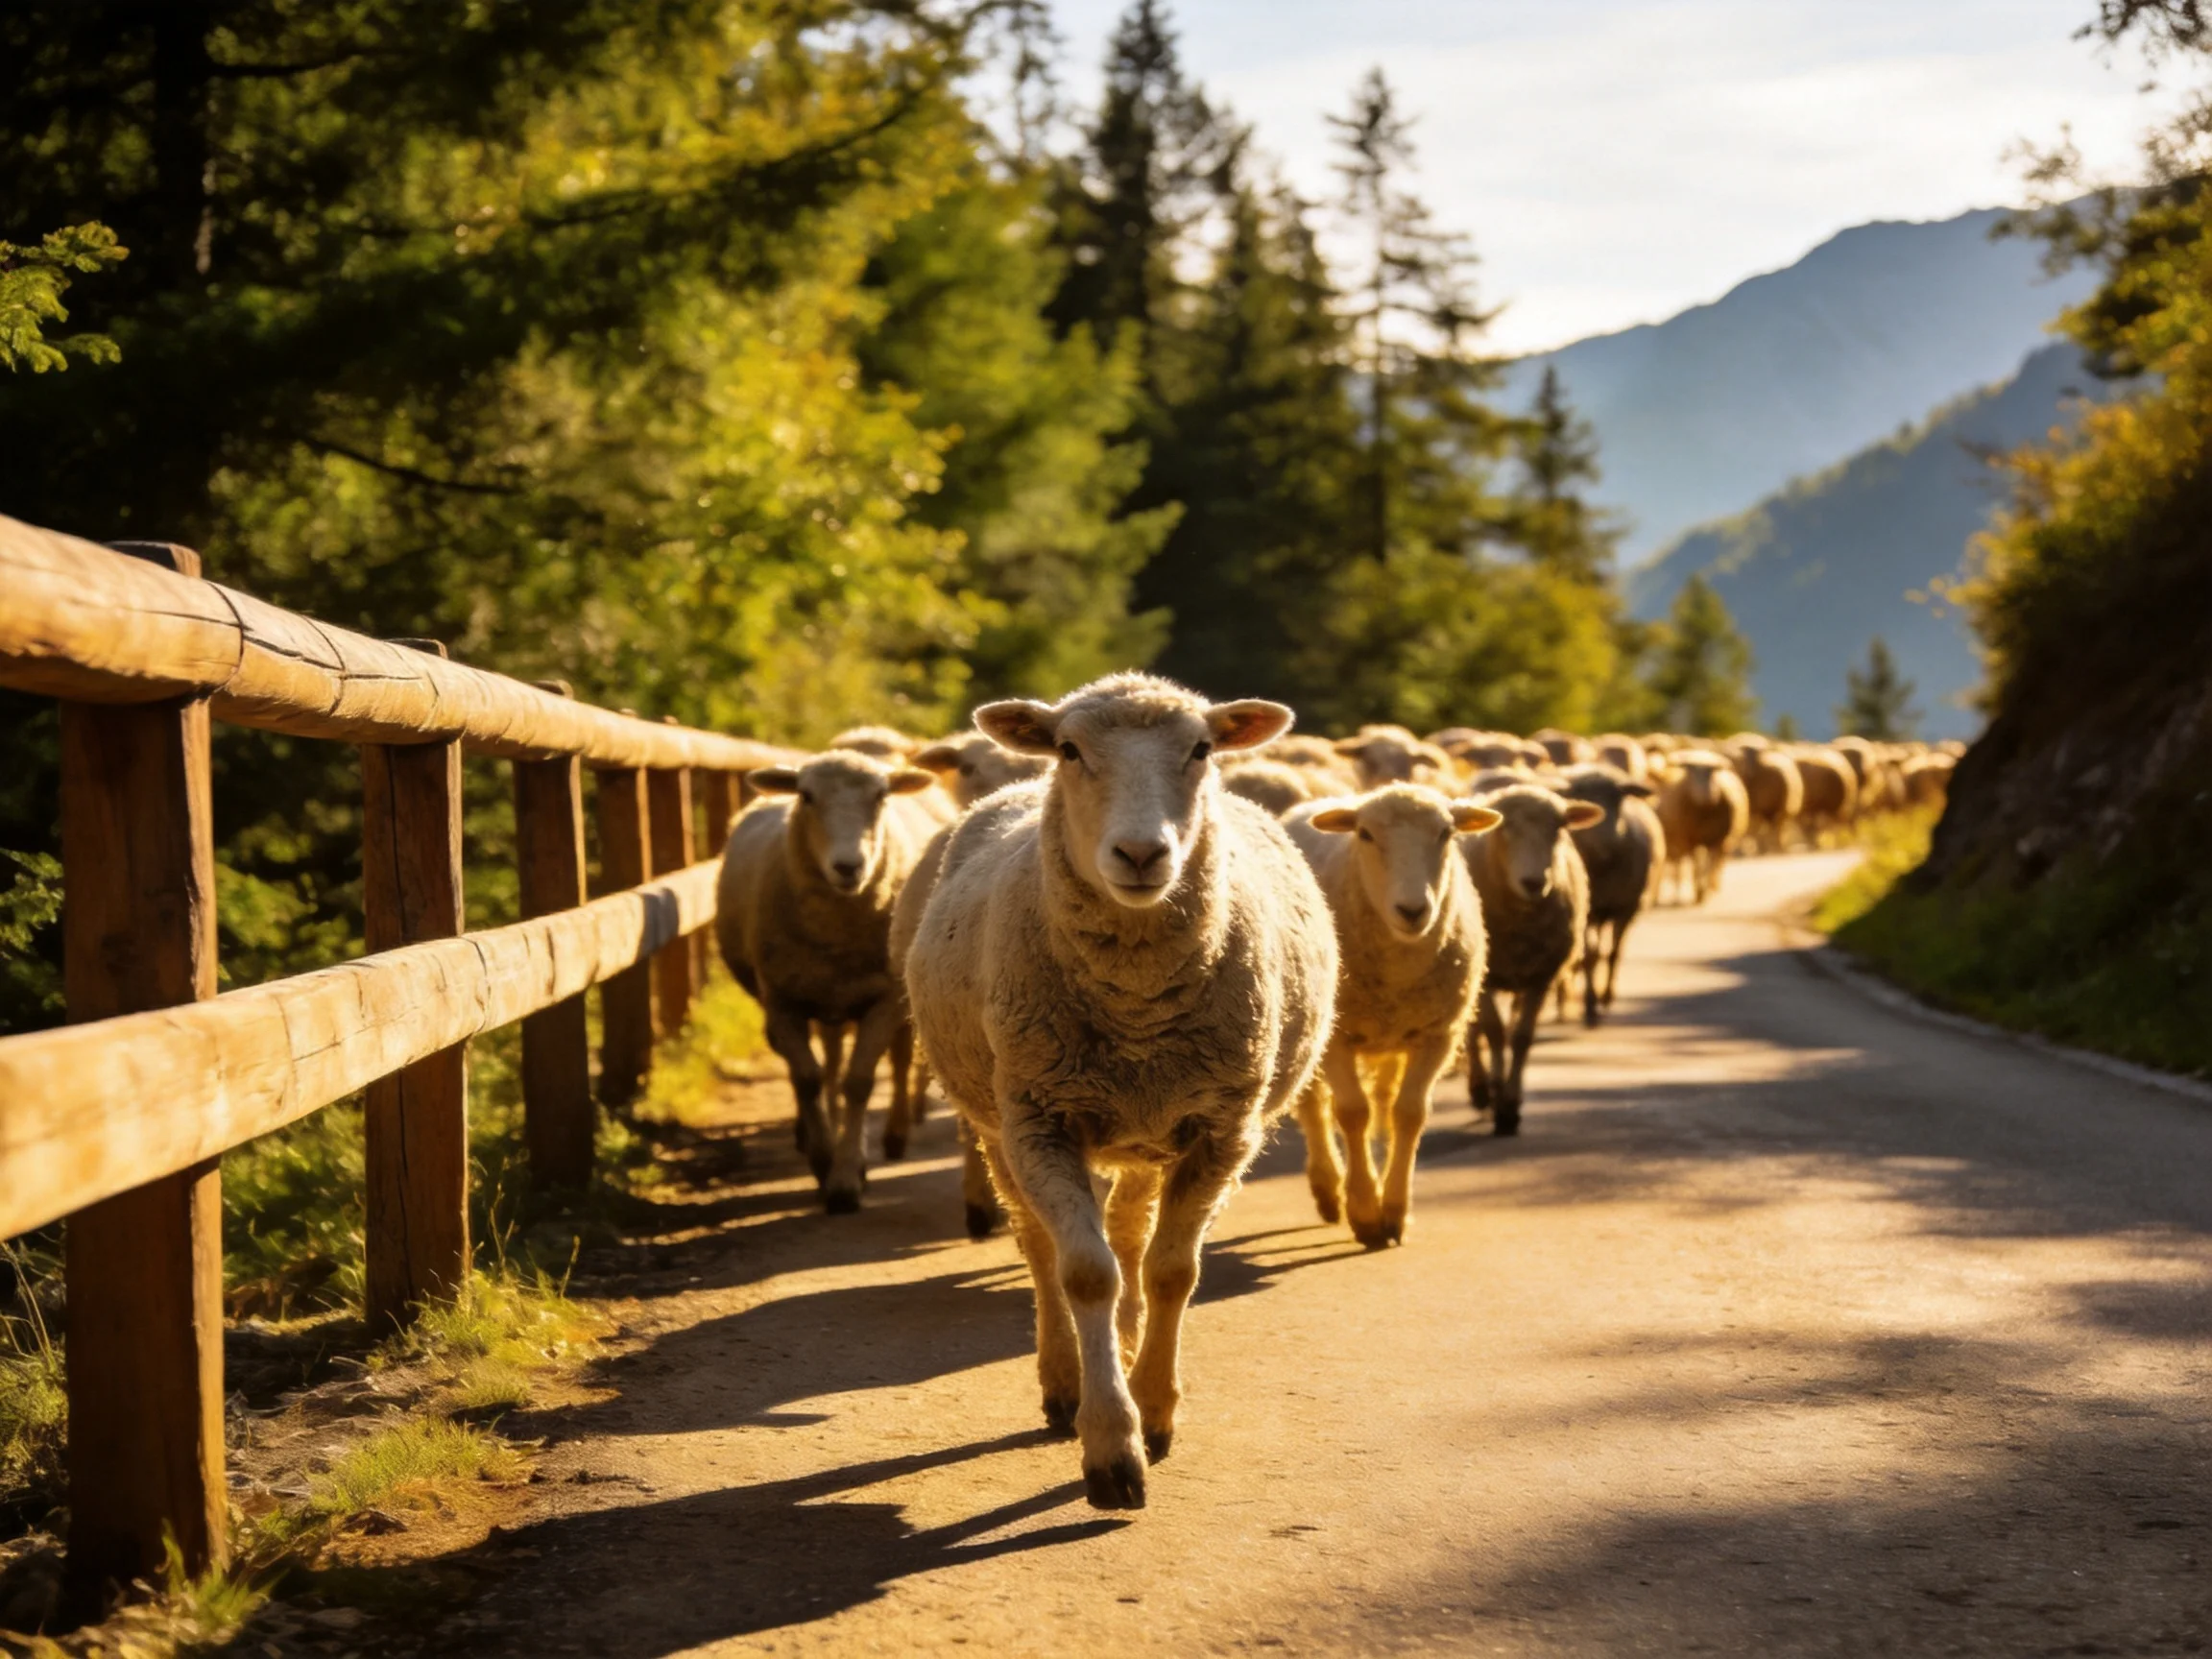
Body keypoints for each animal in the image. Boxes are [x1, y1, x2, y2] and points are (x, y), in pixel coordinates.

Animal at [716, 749, 943, 1211]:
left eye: (881, 796)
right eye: (806, 796)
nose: (848, 867)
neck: (837, 933)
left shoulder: (883, 999)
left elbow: (859, 1081)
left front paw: (846, 1177)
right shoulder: (782, 1000)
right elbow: (808, 1078)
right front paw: (823, 1160)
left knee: (890, 1061)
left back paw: (892, 1136)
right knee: (823, 1065)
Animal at [1284, 785, 1499, 1244]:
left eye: (1446, 833)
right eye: (1364, 834)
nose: (1413, 910)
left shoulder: (1438, 1033)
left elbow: (1409, 1114)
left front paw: (1395, 1209)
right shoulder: (1337, 1037)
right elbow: (1351, 1113)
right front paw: (1365, 1212)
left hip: (1392, 1036)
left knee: (1383, 1100)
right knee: (1313, 1105)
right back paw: (1328, 1189)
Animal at [1459, 784, 1603, 1133]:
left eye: (1559, 828)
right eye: (1505, 828)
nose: (1534, 882)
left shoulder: (1542, 975)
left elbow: (1522, 1038)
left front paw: (1511, 1105)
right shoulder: (1486, 977)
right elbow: (1494, 1032)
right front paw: (1497, 1099)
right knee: (1473, 1029)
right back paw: (1480, 1089)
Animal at [1560, 765, 1661, 1024]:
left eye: (1618, 796)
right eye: (1580, 795)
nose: (1603, 839)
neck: (1603, 864)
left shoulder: (1626, 908)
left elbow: (1614, 953)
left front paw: (1605, 998)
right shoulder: (1588, 913)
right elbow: (1590, 957)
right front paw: (1590, 1007)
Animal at [1654, 749, 1749, 903]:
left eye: (1712, 773)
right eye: (1691, 772)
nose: (1706, 795)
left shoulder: (1717, 840)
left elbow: (1708, 865)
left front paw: (1702, 890)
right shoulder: (1690, 840)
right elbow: (1697, 865)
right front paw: (1699, 890)